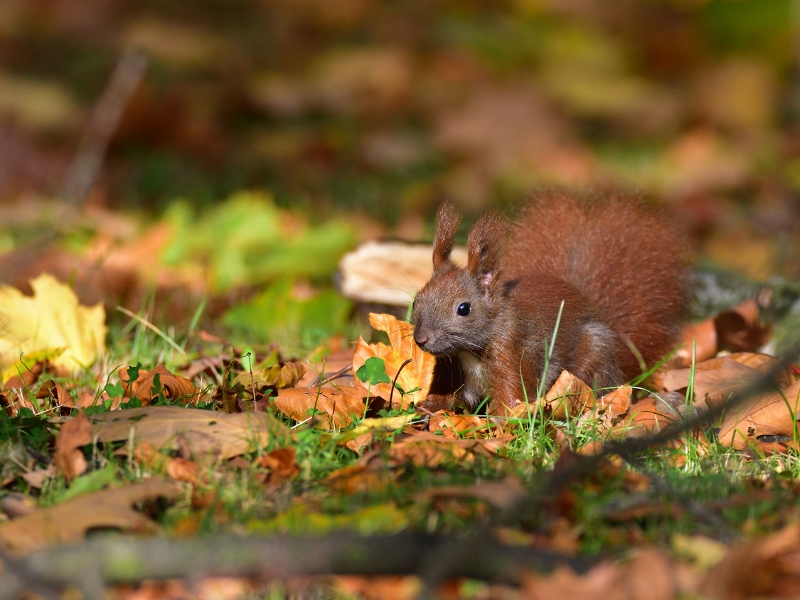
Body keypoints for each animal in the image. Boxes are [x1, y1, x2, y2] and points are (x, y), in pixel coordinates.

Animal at [412, 190, 688, 414]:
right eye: (416, 301)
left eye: (464, 309)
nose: (421, 339)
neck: (467, 351)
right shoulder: (451, 368)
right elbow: (445, 398)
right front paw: (424, 412)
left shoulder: (511, 351)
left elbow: (510, 401)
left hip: (592, 358)